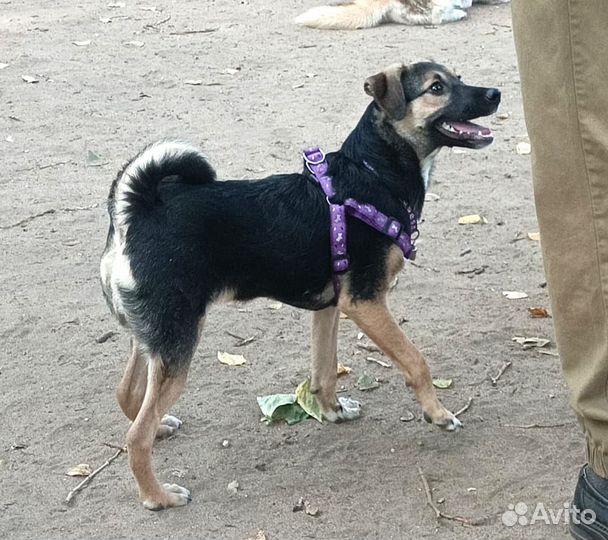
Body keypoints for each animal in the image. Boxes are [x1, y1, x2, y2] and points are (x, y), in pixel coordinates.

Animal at [100, 61, 498, 508]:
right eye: (436, 88)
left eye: (458, 78)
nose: (497, 94)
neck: (374, 173)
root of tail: (136, 212)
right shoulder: (366, 302)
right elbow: (416, 361)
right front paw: (439, 413)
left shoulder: (331, 306)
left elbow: (324, 371)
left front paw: (332, 411)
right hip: (179, 338)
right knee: (136, 436)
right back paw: (159, 496)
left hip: (156, 336)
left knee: (128, 394)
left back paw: (161, 428)